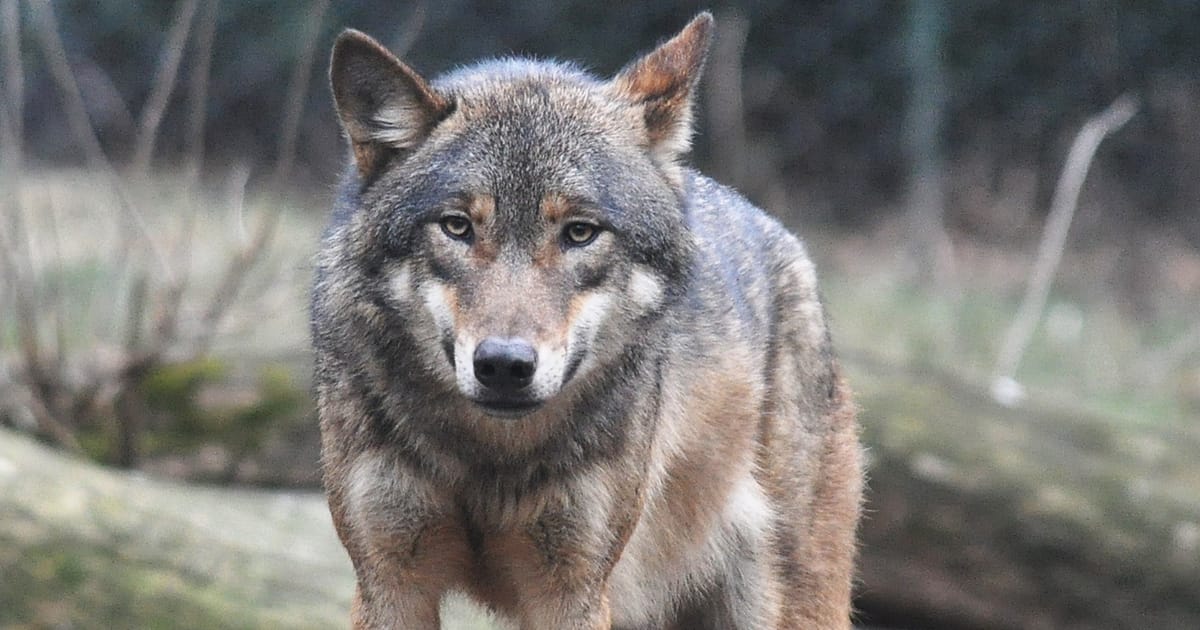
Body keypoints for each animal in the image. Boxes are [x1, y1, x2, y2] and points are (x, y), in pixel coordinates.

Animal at [314, 11, 859, 628]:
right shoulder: (389, 578)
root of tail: (789, 245)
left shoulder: (573, 587)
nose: (504, 366)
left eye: (579, 232)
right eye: (457, 227)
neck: (492, 458)